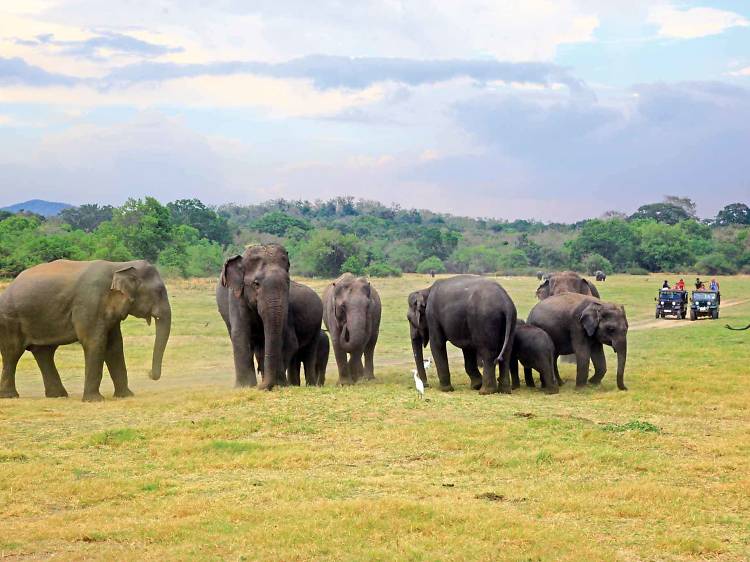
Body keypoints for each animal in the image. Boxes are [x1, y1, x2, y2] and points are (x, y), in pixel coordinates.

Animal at [0, 258, 170, 398]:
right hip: (10, 319)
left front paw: (126, 396)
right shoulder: (89, 302)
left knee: (44, 352)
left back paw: (58, 395)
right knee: (12, 352)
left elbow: (114, 346)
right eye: (159, 291)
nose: (149, 373)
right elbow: (95, 342)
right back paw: (11, 396)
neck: (119, 265)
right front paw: (94, 400)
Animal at [217, 243, 290, 392]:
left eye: (288, 281)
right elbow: (240, 333)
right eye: (256, 284)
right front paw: (245, 386)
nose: (262, 387)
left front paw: (281, 384)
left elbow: (280, 330)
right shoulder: (237, 295)